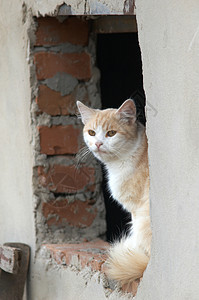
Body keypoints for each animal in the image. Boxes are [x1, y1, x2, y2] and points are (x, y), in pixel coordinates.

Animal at [77, 99, 152, 292]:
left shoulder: (135, 207)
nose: (98, 144)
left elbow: (135, 234)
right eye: (92, 133)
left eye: (111, 133)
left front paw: (131, 249)